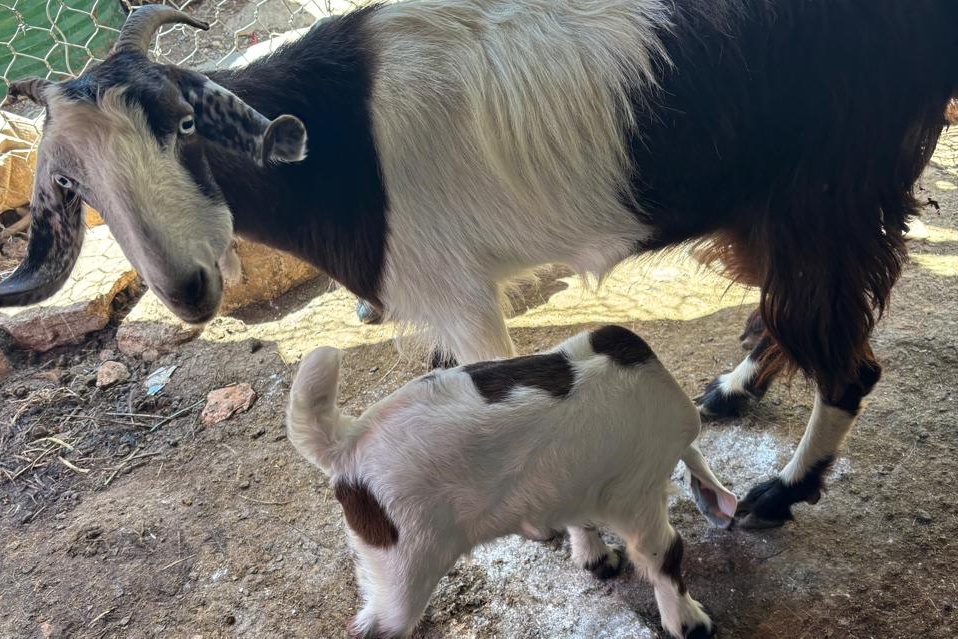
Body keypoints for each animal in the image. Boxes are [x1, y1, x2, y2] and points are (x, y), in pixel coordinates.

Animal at [2, 2, 956, 527]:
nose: (191, 288)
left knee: (850, 363)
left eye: (183, 123)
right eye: (75, 185)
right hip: (774, 208)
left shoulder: (459, 293)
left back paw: (776, 497)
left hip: (828, 194)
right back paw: (731, 389)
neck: (341, 145)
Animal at [287, 325, 737, 639]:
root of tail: (345, 445)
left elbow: (580, 516)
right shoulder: (637, 492)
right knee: (378, 624)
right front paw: (691, 623)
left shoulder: (571, 481)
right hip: (402, 562)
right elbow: (664, 554)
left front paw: (595, 557)